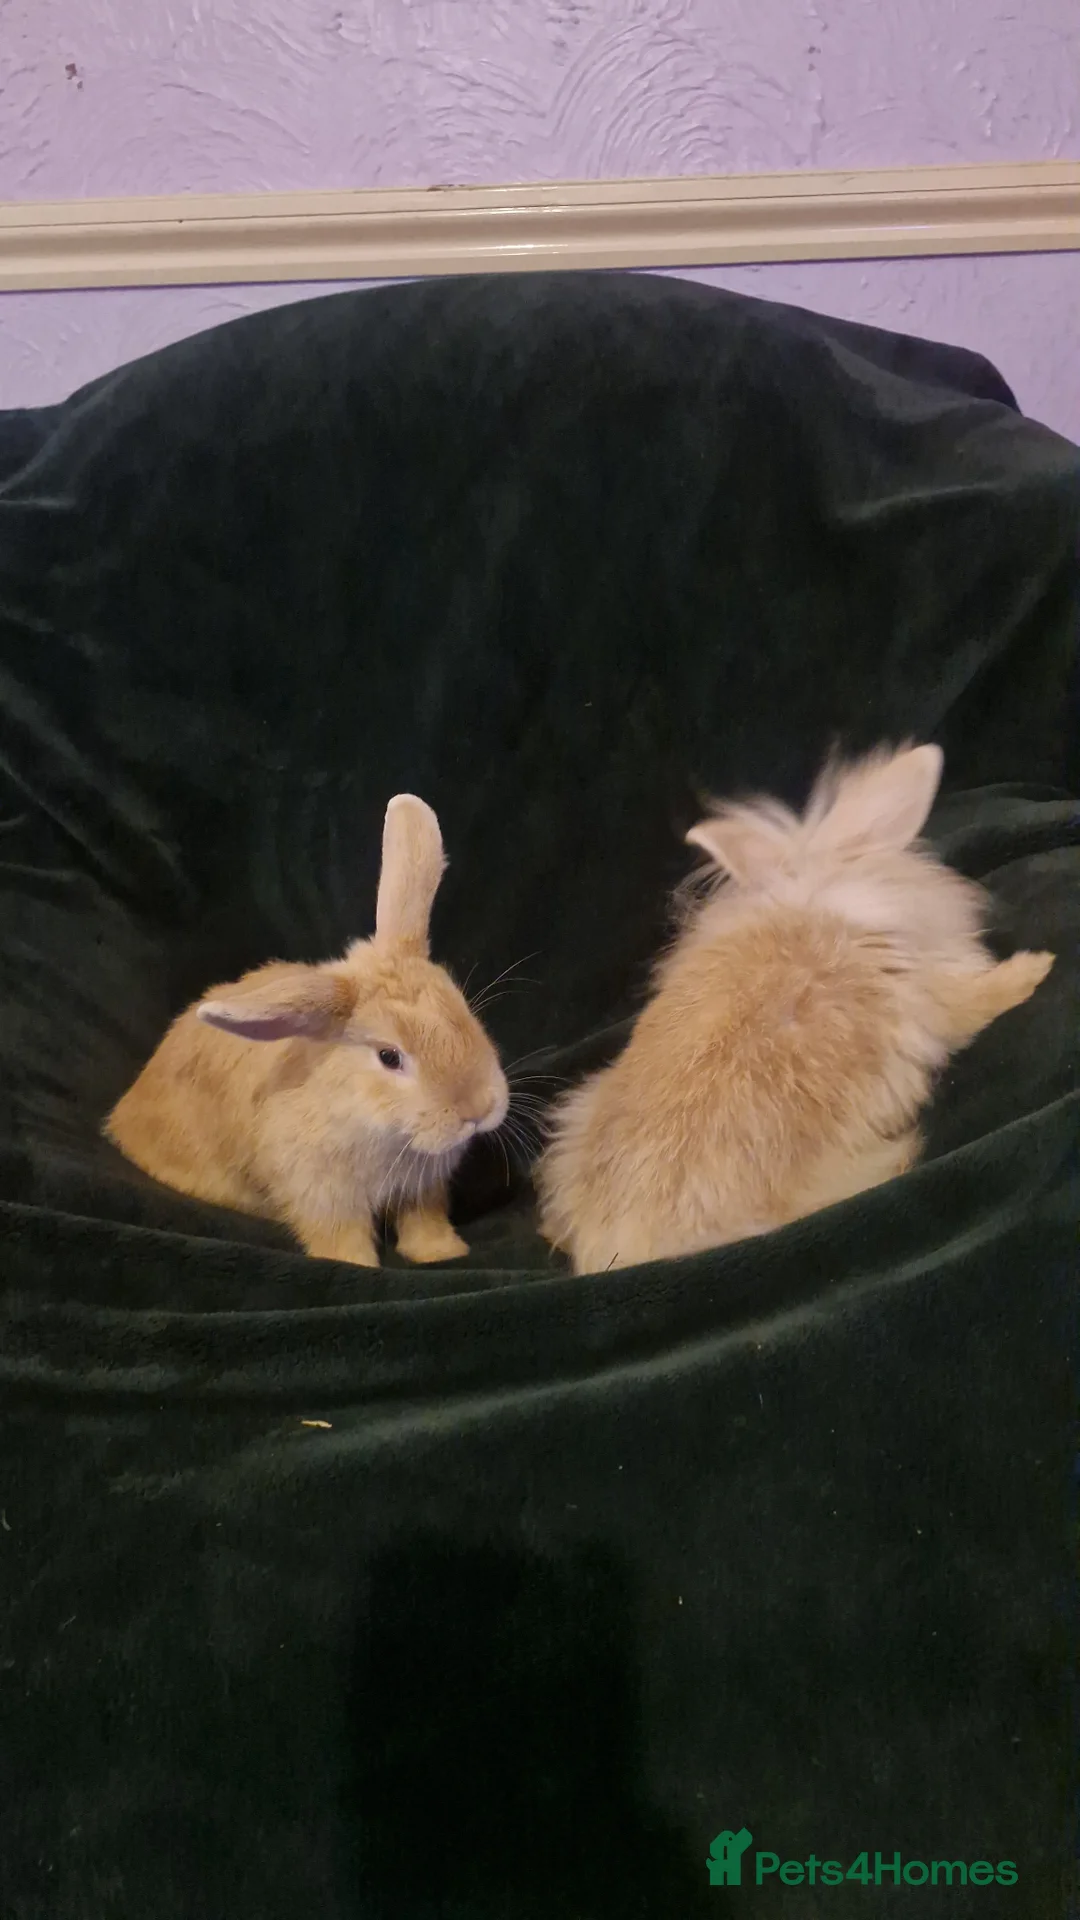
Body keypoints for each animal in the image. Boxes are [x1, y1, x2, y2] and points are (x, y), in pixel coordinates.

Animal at [106, 794, 509, 1267]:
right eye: (389, 1057)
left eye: (463, 1011)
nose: (478, 1110)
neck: (377, 1122)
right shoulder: (321, 1194)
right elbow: (339, 1235)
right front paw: (357, 1264)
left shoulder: (422, 1189)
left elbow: (424, 1219)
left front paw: (442, 1254)